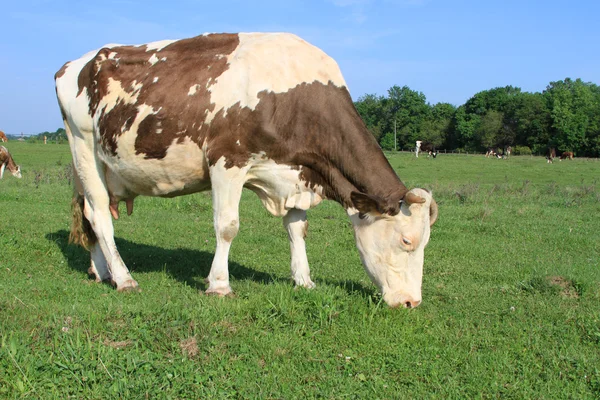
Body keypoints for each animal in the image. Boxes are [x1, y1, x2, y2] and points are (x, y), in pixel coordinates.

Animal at [56, 33, 438, 310]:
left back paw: (100, 271)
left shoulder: (296, 173)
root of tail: (75, 63)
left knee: (88, 214)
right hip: (83, 146)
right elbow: (227, 227)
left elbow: (297, 229)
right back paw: (123, 278)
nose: (411, 302)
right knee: (99, 214)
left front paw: (304, 281)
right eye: (406, 241)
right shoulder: (227, 161)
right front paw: (219, 285)